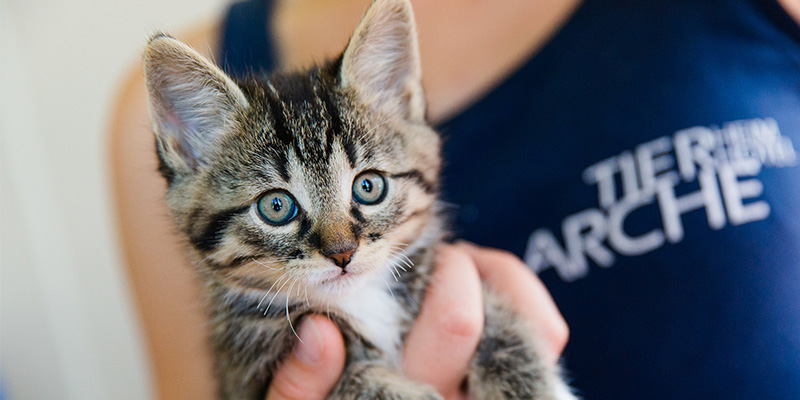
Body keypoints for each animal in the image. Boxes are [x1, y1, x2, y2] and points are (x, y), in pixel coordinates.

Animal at [144, 0, 580, 398]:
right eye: (276, 207)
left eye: (368, 187)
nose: (342, 253)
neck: (362, 299)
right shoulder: (245, 377)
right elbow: (356, 383)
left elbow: (503, 323)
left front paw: (535, 385)